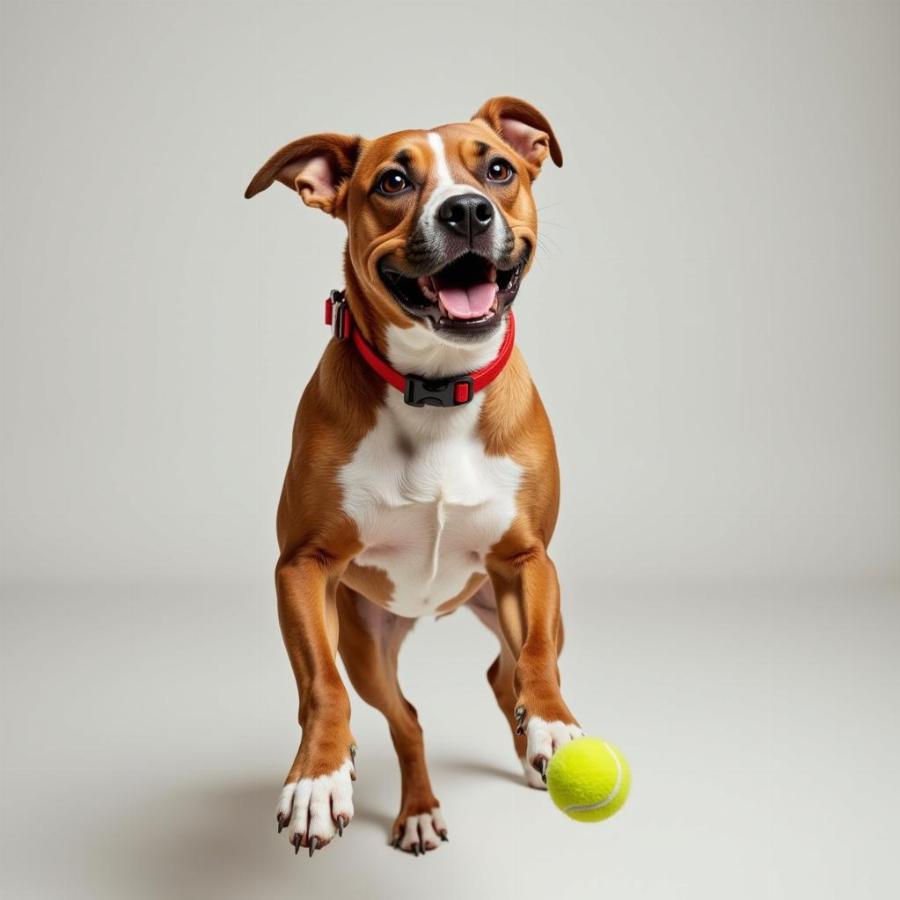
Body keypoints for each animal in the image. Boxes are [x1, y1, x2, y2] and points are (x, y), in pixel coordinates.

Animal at [246, 98, 584, 856]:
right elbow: (322, 687)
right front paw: (317, 778)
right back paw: (415, 807)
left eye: (498, 170)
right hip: (367, 639)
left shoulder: (531, 561)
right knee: (405, 717)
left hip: (510, 600)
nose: (467, 211)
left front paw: (551, 724)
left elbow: (537, 659)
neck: (435, 386)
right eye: (394, 182)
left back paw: (532, 747)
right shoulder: (302, 567)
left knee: (508, 667)